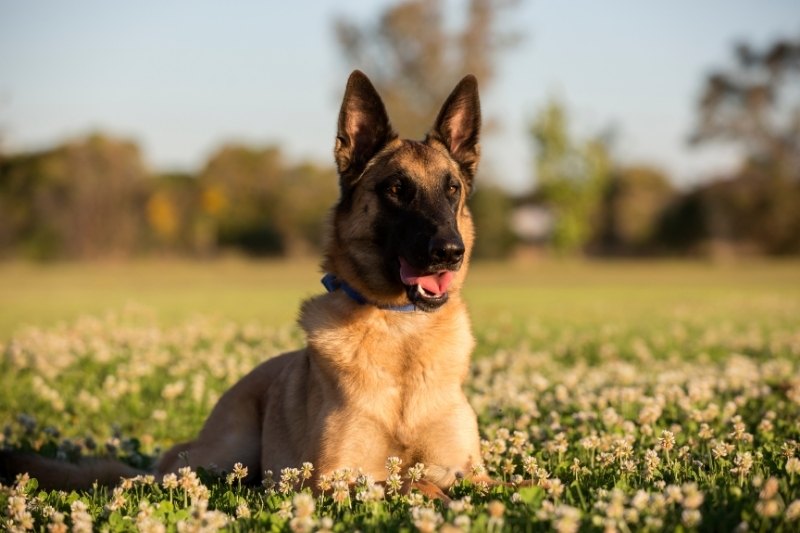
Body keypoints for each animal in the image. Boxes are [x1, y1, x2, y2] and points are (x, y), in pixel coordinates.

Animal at [3, 69, 484, 494]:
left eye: (452, 189)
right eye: (397, 189)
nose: (449, 251)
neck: (403, 331)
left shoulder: (474, 474)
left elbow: (452, 480)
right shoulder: (331, 477)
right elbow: (417, 483)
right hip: (222, 453)